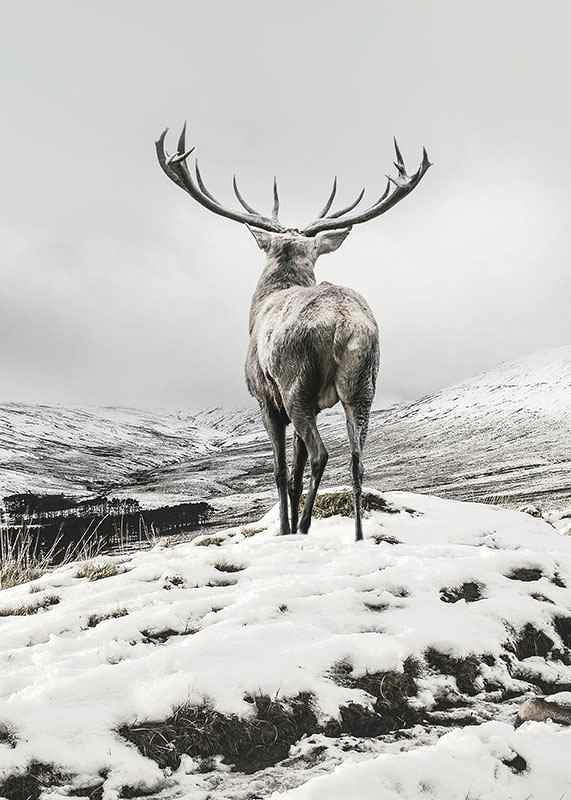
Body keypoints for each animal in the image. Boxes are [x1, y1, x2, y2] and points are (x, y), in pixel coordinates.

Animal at [156, 124, 431, 541]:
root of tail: (344, 323)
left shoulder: (265, 399)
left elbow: (281, 470)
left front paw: (283, 529)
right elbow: (296, 472)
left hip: (296, 384)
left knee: (322, 454)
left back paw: (302, 527)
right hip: (363, 385)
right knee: (357, 459)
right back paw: (356, 535)